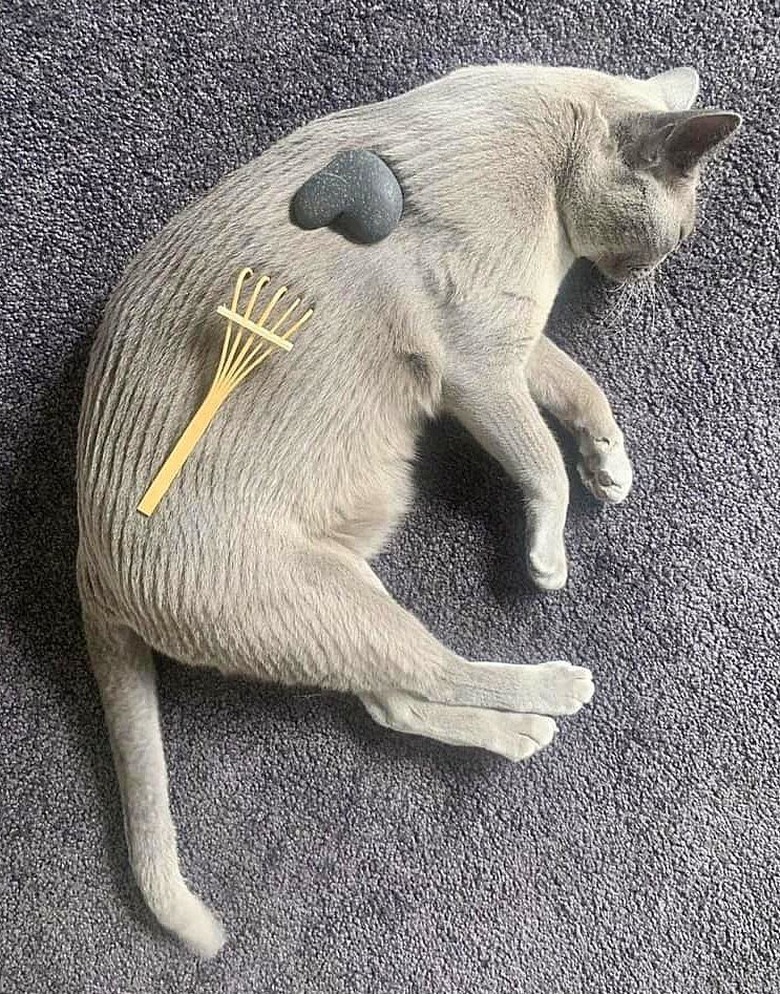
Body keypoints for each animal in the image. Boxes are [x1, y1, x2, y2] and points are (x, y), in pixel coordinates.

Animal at [76, 64, 740, 952]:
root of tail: (86, 556)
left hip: (342, 599)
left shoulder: (512, 342)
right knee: (434, 669)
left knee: (393, 698)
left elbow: (578, 383)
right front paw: (551, 552)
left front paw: (609, 462)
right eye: (673, 235)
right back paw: (550, 697)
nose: (645, 277)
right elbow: (542, 461)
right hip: (327, 604)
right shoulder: (479, 364)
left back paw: (513, 737)